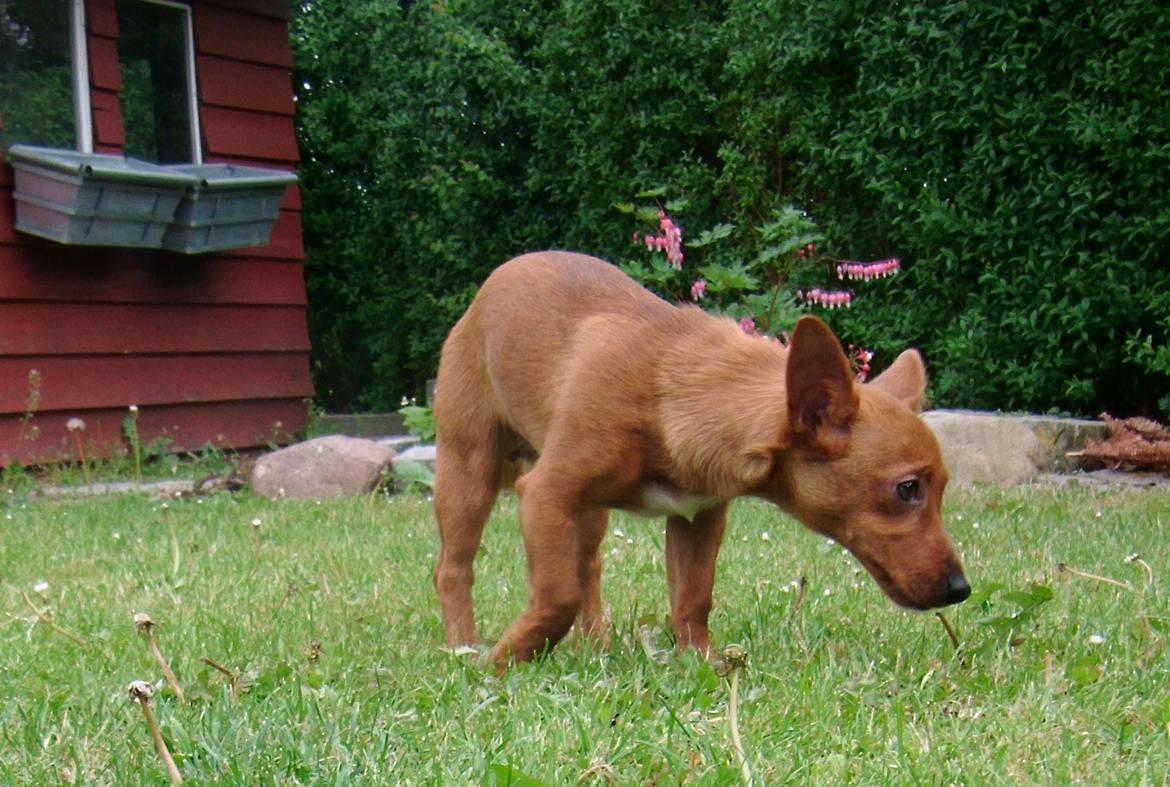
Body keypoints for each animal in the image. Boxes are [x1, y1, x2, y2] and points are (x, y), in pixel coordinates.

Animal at [430, 250, 968, 668]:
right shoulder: (544, 495)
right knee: (454, 569)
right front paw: (507, 659)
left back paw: (597, 644)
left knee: (588, 569)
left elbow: (692, 597)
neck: (671, 391)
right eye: (907, 489)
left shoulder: (698, 517)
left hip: (589, 514)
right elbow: (557, 595)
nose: (961, 589)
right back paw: (463, 646)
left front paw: (701, 660)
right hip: (469, 473)